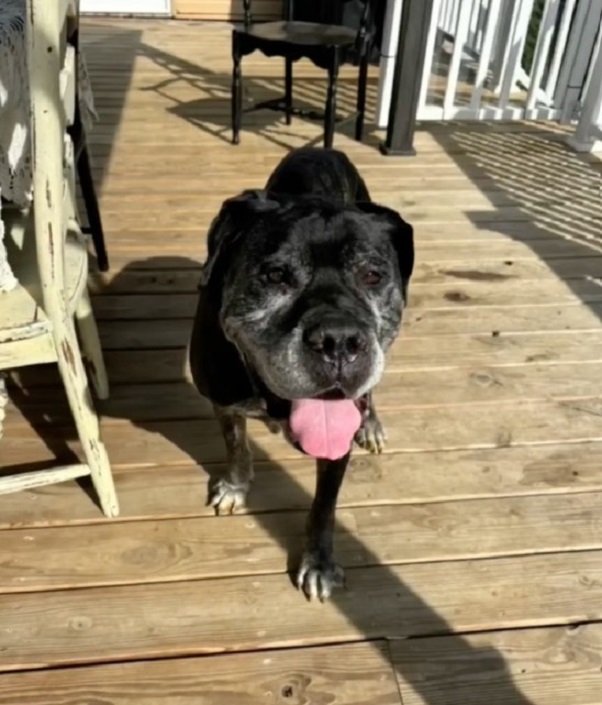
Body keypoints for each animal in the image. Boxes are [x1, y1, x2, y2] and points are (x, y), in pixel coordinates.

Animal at [189, 147, 412, 600]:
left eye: (373, 275)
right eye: (275, 275)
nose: (338, 340)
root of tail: (323, 147)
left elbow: (324, 504)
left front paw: (319, 563)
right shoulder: (223, 400)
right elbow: (235, 445)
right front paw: (235, 486)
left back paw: (372, 424)